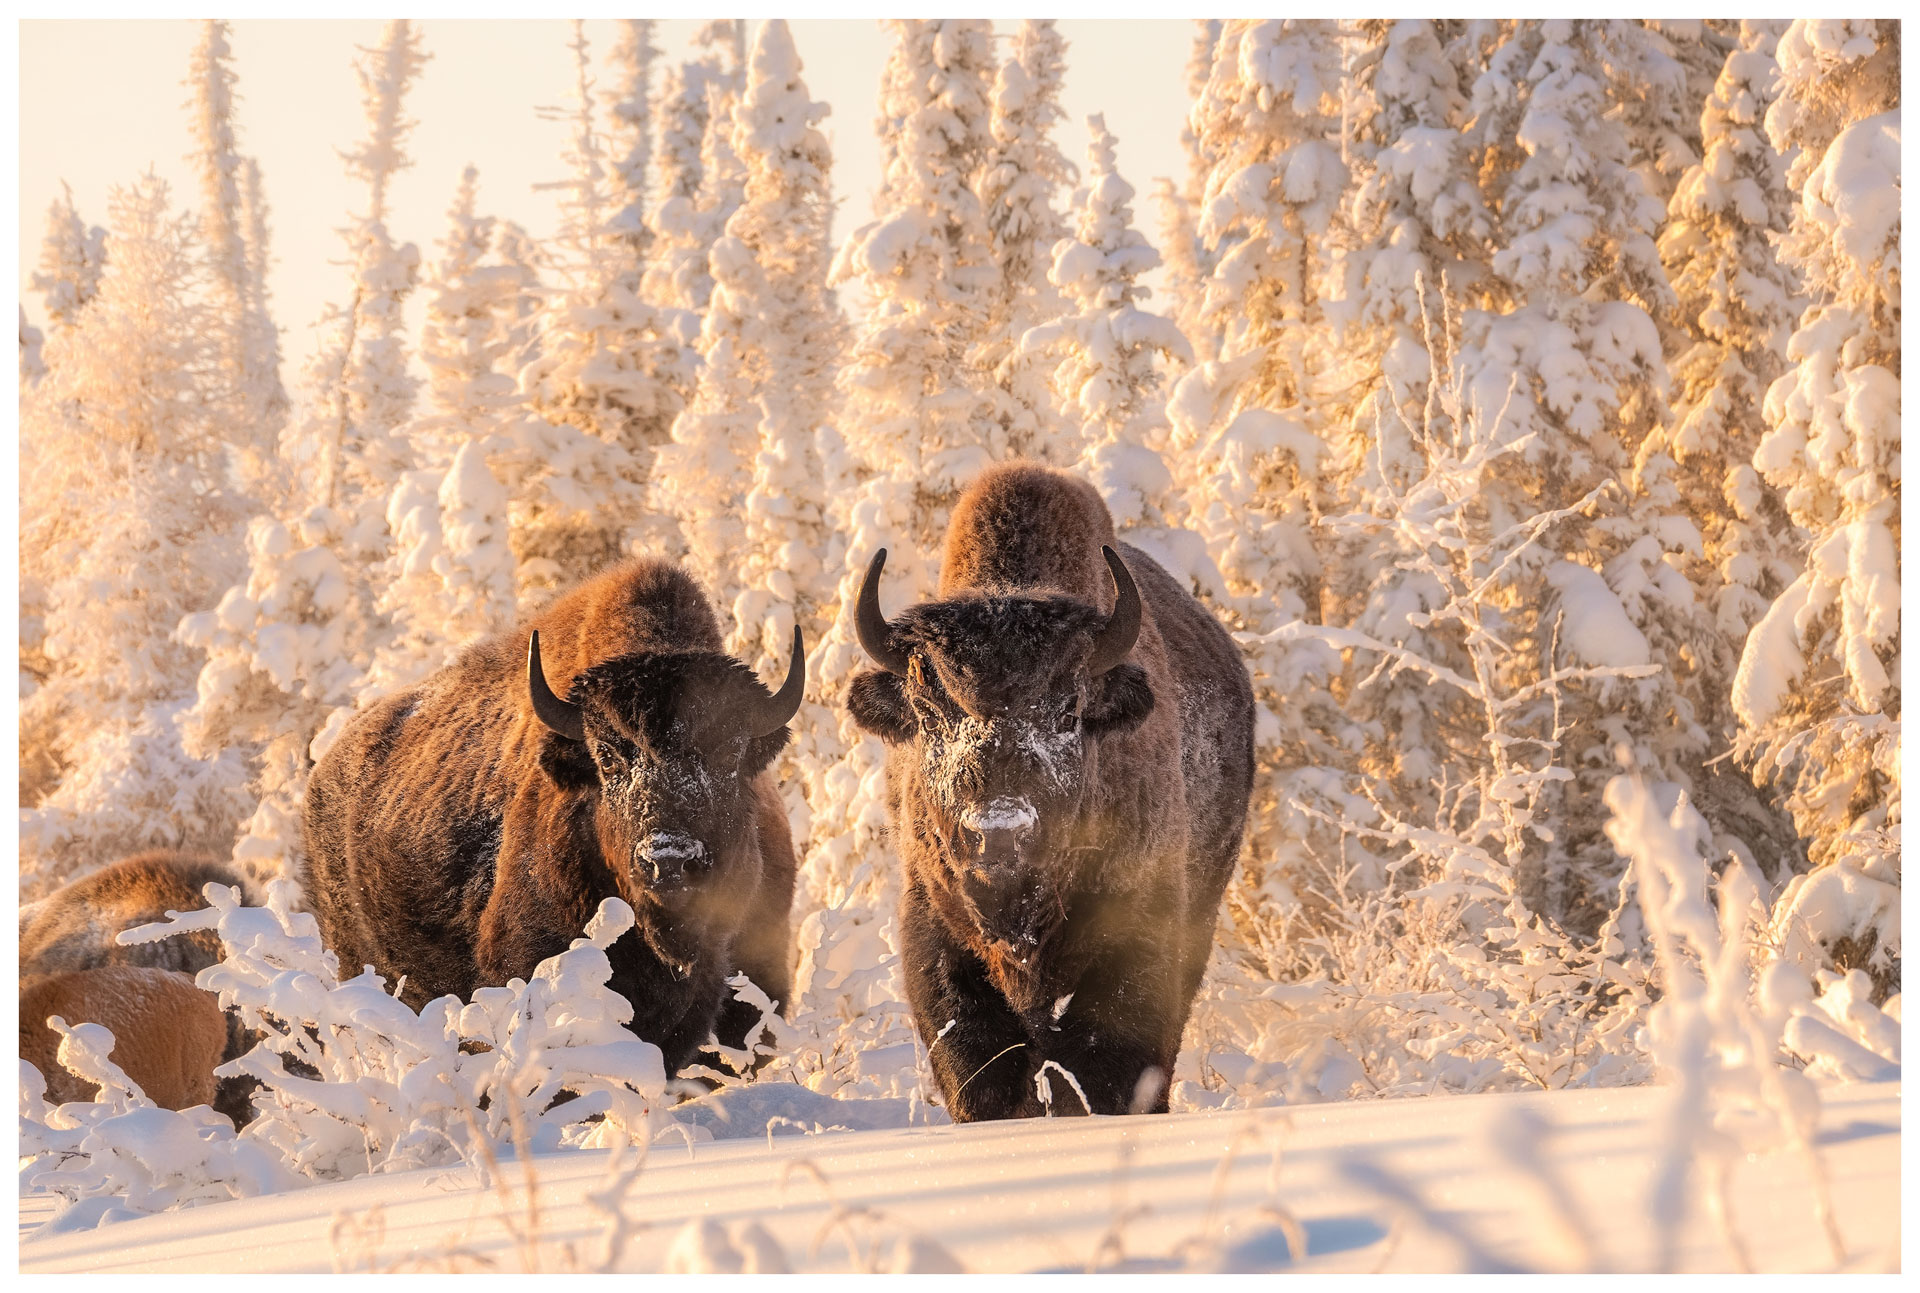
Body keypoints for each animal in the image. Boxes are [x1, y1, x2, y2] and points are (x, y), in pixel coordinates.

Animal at [847, 464, 1254, 1119]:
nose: (998, 834)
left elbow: (1101, 1073)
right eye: (928, 709)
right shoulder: (938, 944)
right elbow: (980, 1077)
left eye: (1069, 709)